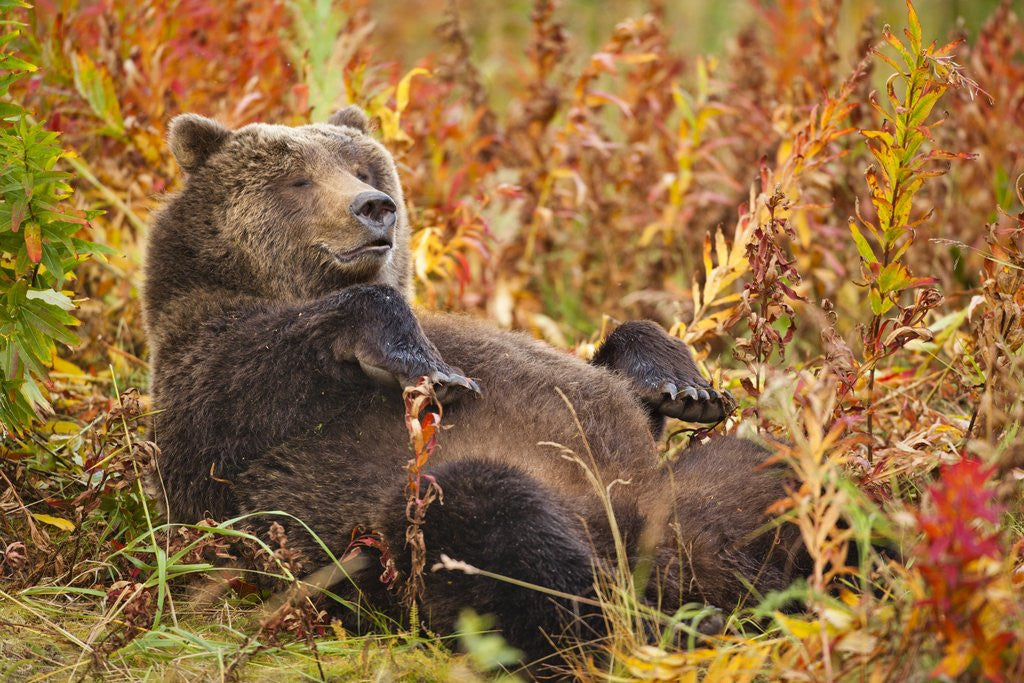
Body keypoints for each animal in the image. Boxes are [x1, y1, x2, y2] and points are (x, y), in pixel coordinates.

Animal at [143, 106, 804, 665]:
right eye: (298, 181)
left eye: (362, 168)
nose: (374, 206)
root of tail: (670, 555)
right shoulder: (214, 375)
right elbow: (263, 382)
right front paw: (433, 368)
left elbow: (623, 379)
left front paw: (685, 387)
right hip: (405, 535)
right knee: (496, 523)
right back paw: (665, 624)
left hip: (690, 495)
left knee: (767, 470)